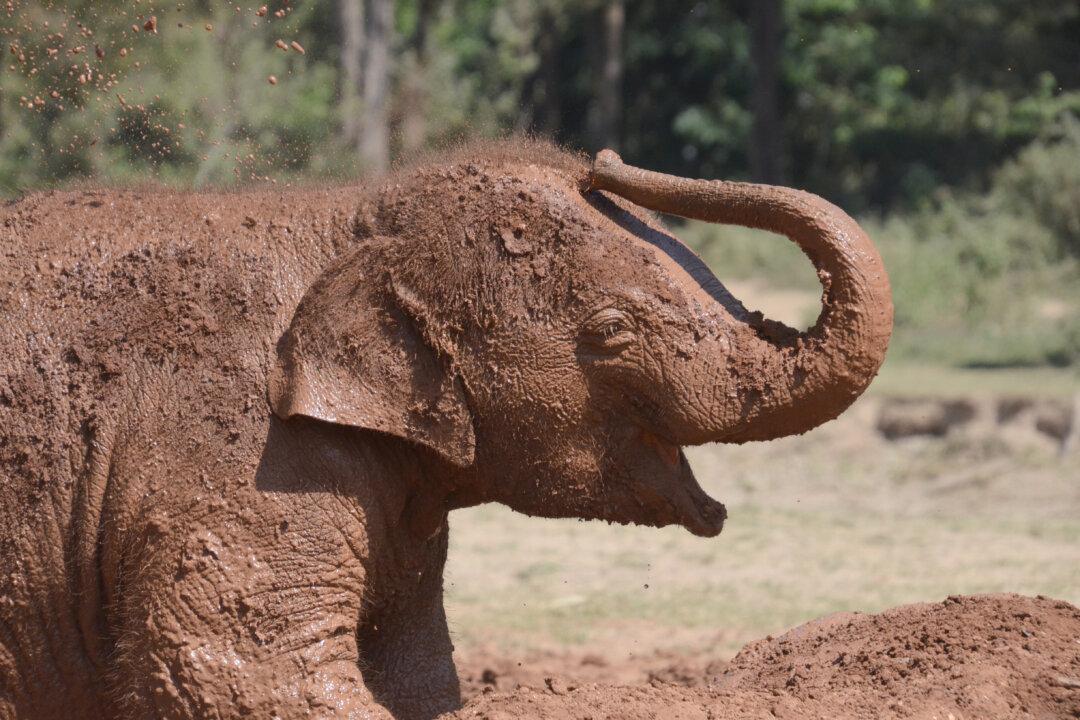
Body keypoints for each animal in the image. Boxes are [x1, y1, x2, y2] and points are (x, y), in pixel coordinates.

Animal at [0, 140, 891, 719]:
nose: (602, 159)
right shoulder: (235, 456)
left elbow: (418, 676)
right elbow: (240, 672)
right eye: (611, 331)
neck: (341, 222)